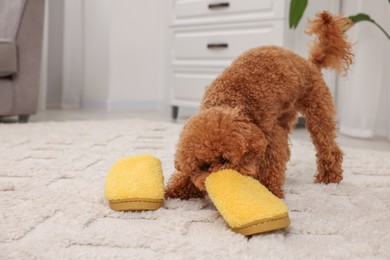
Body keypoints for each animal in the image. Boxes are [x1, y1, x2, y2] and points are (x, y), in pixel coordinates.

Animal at [166, 11, 354, 199]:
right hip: (285, 117)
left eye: (225, 160)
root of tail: (311, 63)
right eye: (204, 166)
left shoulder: (269, 135)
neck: (231, 100)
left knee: (328, 147)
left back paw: (329, 177)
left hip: (318, 110)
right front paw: (175, 189)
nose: (216, 183)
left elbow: (270, 163)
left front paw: (268, 190)